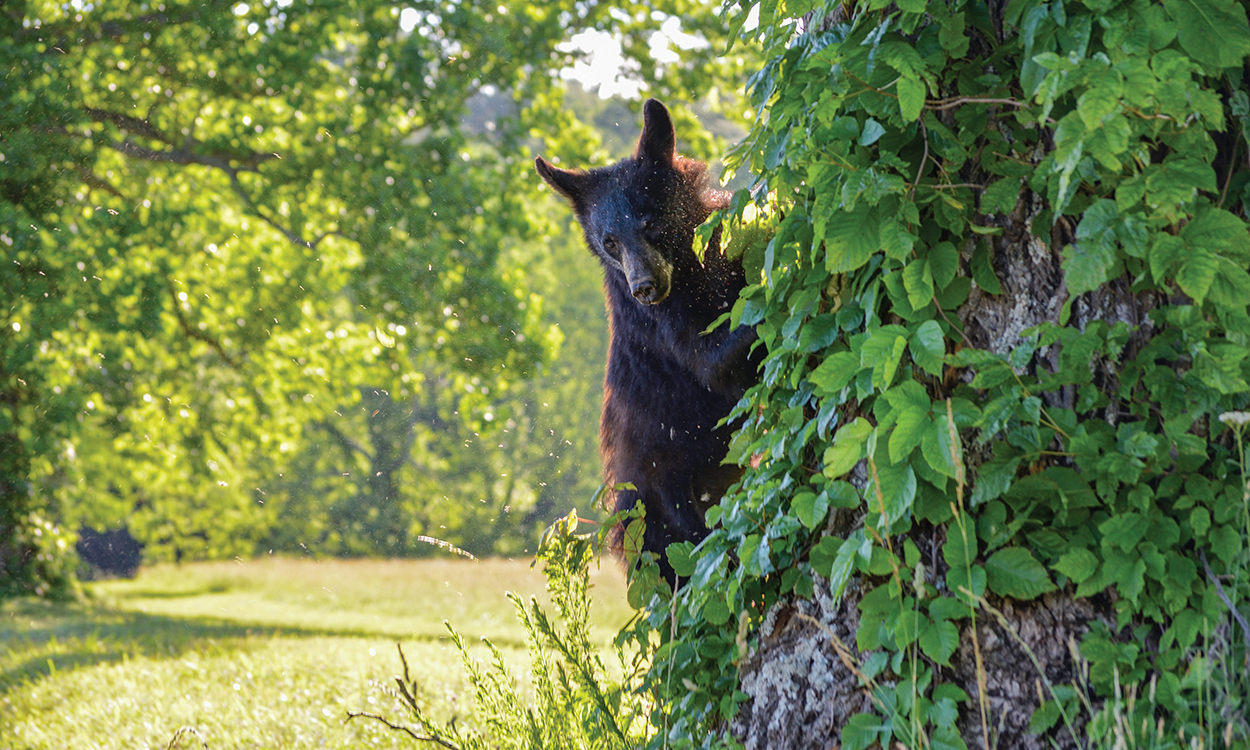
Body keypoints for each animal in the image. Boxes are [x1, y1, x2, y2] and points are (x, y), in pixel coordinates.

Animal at [535, 98, 755, 580]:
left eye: (650, 222)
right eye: (609, 241)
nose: (645, 288)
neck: (690, 273)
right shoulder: (662, 326)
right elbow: (712, 357)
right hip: (664, 507)